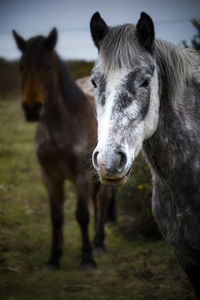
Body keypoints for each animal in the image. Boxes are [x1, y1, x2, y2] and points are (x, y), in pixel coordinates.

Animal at [12, 28, 115, 272]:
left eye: (48, 66)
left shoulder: (80, 176)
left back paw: (98, 244)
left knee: (103, 202)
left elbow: (82, 215)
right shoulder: (50, 176)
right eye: (21, 66)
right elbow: (56, 217)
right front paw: (54, 258)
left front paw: (87, 258)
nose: (32, 109)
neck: (61, 126)